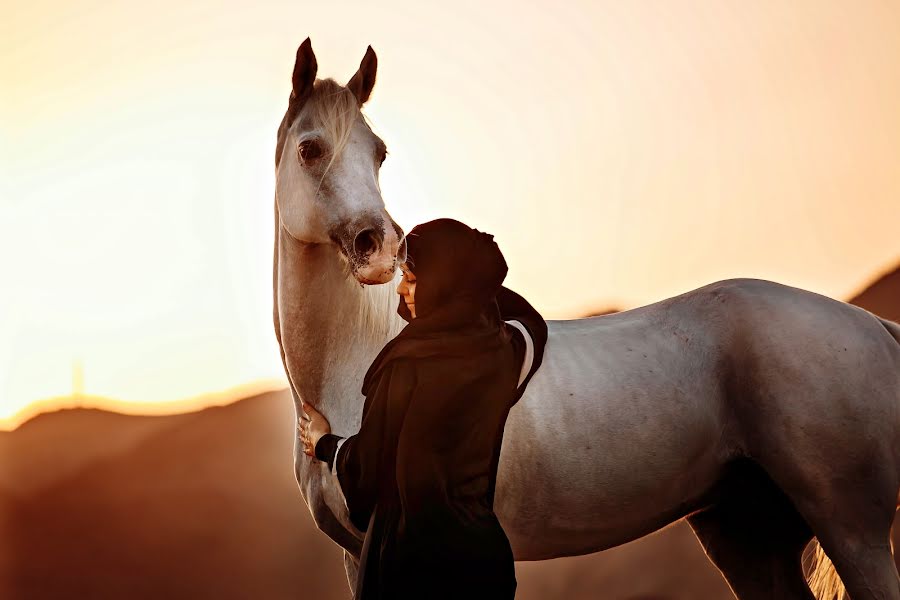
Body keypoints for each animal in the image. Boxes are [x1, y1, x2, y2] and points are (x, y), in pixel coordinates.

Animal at [272, 39, 900, 596]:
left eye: (378, 152)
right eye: (310, 149)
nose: (378, 247)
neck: (350, 364)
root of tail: (873, 326)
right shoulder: (357, 558)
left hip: (853, 532)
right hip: (747, 540)